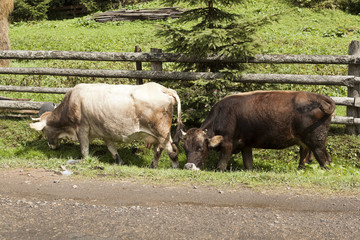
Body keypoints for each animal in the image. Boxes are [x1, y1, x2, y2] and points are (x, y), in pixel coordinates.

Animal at [29, 82, 183, 169]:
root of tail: (164, 89)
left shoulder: (81, 129)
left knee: (172, 150)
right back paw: (152, 166)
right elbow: (112, 149)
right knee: (158, 150)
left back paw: (174, 167)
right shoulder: (105, 132)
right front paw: (120, 162)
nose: (52, 147)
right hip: (157, 136)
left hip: (162, 133)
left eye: (44, 131)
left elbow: (84, 150)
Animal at [181, 90, 336, 171]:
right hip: (305, 140)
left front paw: (218, 170)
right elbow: (248, 162)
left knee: (324, 159)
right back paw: (300, 169)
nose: (188, 166)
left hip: (317, 141)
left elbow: (222, 161)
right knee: (305, 153)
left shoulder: (227, 143)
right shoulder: (245, 144)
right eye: (185, 149)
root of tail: (318, 97)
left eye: (201, 148)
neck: (222, 114)